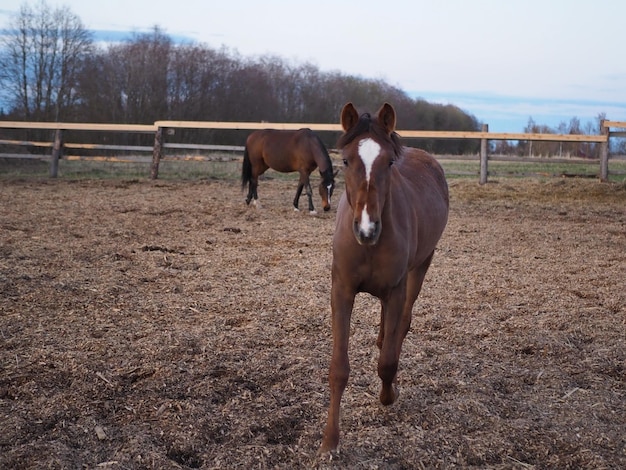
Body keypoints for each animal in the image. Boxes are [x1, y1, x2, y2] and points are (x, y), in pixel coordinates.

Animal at [320, 102, 446, 452]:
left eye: (389, 161)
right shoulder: (342, 291)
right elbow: (338, 368)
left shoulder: (396, 289)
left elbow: (388, 361)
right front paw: (329, 441)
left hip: (421, 267)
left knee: (402, 324)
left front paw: (389, 395)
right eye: (345, 159)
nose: (367, 229)